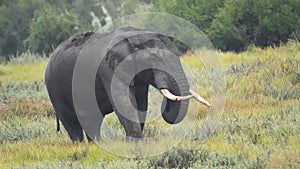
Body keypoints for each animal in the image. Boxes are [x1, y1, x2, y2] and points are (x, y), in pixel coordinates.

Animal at [45, 27, 211, 142]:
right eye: (154, 59)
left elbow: (141, 103)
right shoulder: (108, 69)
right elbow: (124, 102)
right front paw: (136, 142)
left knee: (91, 119)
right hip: (54, 86)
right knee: (71, 122)